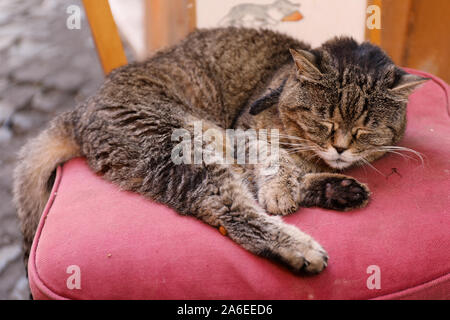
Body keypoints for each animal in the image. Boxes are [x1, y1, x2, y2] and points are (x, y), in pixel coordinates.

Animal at [12, 27, 428, 274]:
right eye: (324, 121)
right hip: (185, 145)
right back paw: (297, 246)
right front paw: (282, 189)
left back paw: (338, 191)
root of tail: (80, 111)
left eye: (364, 130)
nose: (340, 148)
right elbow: (274, 160)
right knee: (229, 207)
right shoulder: (247, 134)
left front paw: (307, 183)